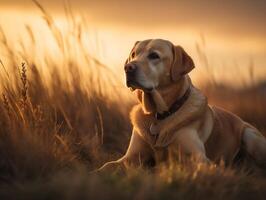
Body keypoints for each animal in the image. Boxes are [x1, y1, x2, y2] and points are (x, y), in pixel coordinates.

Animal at [98, 39, 266, 172]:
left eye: (154, 56)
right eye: (133, 54)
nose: (128, 68)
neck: (159, 115)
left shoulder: (199, 158)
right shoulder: (131, 157)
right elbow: (107, 165)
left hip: (250, 136)